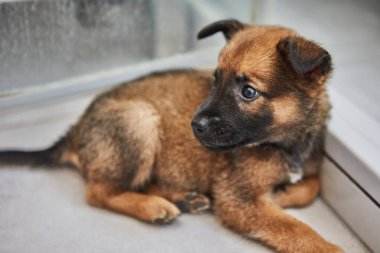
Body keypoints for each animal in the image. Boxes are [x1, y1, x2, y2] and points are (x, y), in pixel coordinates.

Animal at [0, 20, 342, 253]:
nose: (195, 125)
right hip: (140, 120)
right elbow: (295, 229)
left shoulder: (305, 170)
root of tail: (76, 130)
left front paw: (285, 192)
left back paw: (180, 198)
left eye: (248, 92)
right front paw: (327, 246)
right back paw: (153, 207)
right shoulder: (240, 200)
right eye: (214, 80)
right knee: (98, 192)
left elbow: (313, 184)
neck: (285, 143)